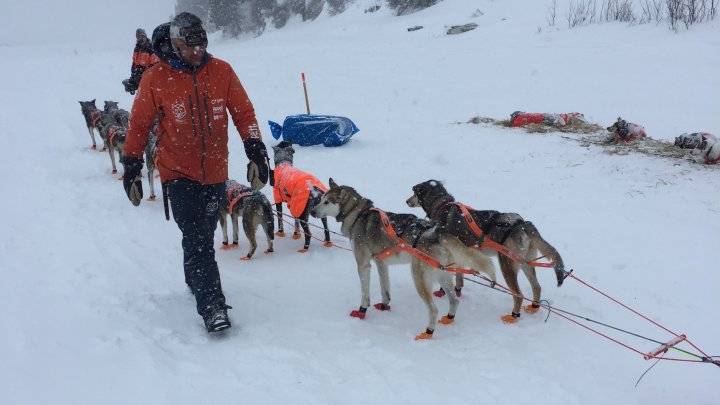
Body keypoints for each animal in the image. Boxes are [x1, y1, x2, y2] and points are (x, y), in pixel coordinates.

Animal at [312, 178, 476, 340]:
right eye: (321, 199)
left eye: (327, 202)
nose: (312, 211)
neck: (358, 214)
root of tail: (439, 233)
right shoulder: (381, 264)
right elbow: (385, 290)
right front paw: (384, 306)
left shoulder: (363, 264)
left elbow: (365, 294)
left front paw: (362, 311)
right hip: (443, 275)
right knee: (455, 300)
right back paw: (449, 318)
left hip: (419, 278)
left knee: (434, 309)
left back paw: (428, 332)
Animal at [408, 179, 564, 322]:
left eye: (414, 193)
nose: (406, 201)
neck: (442, 205)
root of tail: (521, 223)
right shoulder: (459, 255)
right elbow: (459, 277)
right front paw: (458, 290)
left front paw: (443, 292)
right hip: (526, 263)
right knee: (537, 287)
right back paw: (534, 307)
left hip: (507, 266)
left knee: (518, 295)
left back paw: (513, 315)